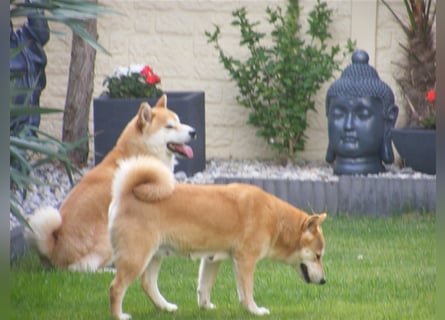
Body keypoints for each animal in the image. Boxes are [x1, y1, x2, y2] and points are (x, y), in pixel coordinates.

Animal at [24, 95, 196, 272]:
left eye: (179, 121)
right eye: (169, 126)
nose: (194, 132)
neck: (140, 153)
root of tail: (55, 252)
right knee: (85, 268)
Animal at [107, 155, 326, 318]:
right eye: (318, 256)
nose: (324, 281)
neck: (275, 220)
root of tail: (126, 193)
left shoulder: (211, 259)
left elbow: (204, 287)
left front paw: (205, 308)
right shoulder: (245, 260)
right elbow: (247, 291)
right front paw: (254, 310)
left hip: (155, 254)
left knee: (148, 284)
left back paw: (166, 307)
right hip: (137, 256)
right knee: (116, 288)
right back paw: (119, 315)